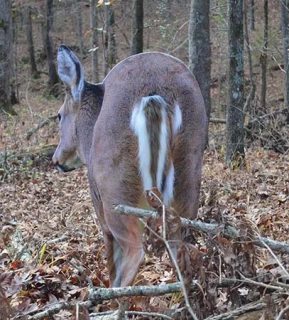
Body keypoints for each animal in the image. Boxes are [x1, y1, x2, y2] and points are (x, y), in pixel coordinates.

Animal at [52, 45, 207, 288]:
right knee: (180, 252)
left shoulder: (99, 204)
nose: (56, 159)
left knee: (134, 256)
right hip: (188, 182)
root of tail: (154, 97)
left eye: (59, 115)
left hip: (116, 193)